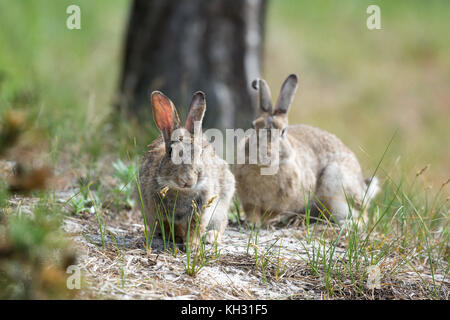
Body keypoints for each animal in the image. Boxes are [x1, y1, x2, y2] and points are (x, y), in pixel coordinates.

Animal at [139, 91, 234, 246]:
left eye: (200, 153)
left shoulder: (201, 210)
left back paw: (210, 237)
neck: (180, 191)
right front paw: (177, 237)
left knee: (221, 224)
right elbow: (169, 225)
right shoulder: (158, 212)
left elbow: (196, 228)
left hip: (221, 206)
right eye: (171, 152)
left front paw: (192, 245)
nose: (187, 180)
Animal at [234, 74, 378, 226]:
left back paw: (347, 224)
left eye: (283, 131)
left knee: (363, 216)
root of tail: (363, 189)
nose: (264, 152)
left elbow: (271, 213)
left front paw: (266, 222)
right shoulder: (249, 201)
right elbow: (252, 211)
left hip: (337, 185)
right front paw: (252, 223)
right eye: (253, 125)